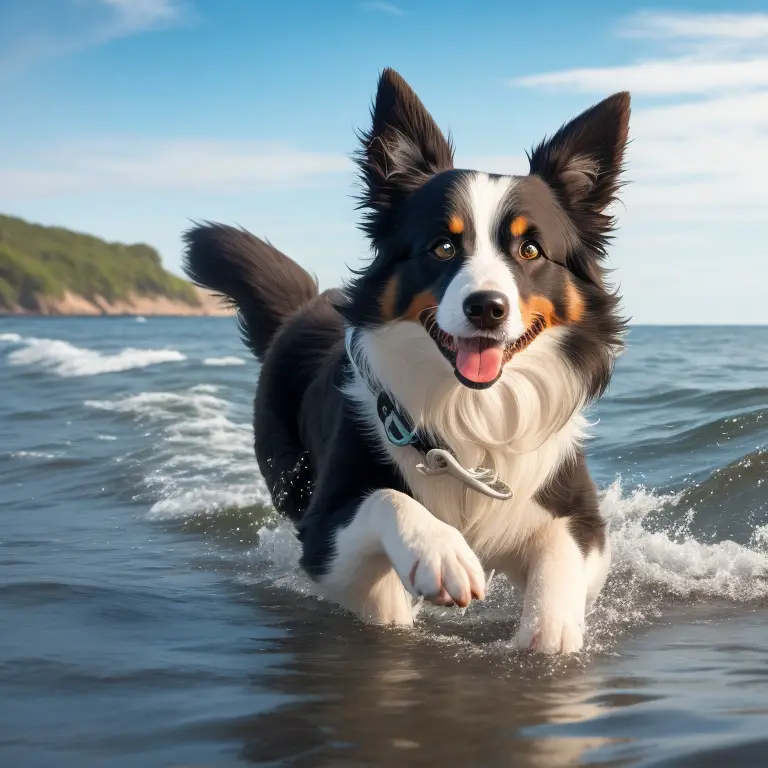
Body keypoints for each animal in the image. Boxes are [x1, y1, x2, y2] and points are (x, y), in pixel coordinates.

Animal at [184, 67, 632, 656]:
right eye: (443, 246)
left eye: (530, 250)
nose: (486, 308)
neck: (470, 414)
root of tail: (304, 303)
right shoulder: (322, 537)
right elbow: (388, 502)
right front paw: (439, 554)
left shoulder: (579, 516)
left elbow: (562, 559)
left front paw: (550, 632)